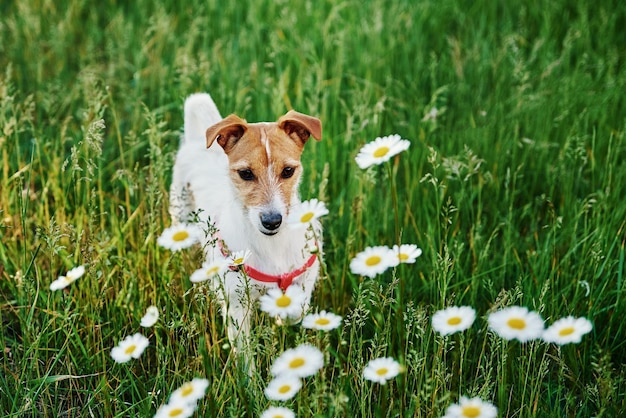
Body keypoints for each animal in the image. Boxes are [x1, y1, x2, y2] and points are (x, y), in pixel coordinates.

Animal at [168, 93, 322, 360]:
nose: (272, 221)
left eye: (288, 171)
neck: (272, 245)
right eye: (246, 174)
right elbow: (245, 357)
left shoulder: (306, 273)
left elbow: (296, 310)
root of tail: (196, 141)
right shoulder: (236, 305)